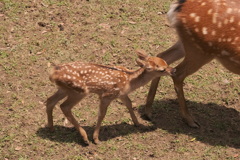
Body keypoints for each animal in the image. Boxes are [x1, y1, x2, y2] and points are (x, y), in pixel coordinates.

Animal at [46, 49, 174, 144]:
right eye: (162, 69)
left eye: (165, 62)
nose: (173, 70)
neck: (129, 82)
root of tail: (52, 73)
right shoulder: (107, 95)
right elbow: (102, 114)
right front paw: (96, 139)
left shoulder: (121, 94)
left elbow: (129, 104)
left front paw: (137, 123)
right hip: (79, 91)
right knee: (64, 106)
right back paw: (85, 138)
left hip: (64, 89)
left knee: (50, 100)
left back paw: (51, 128)